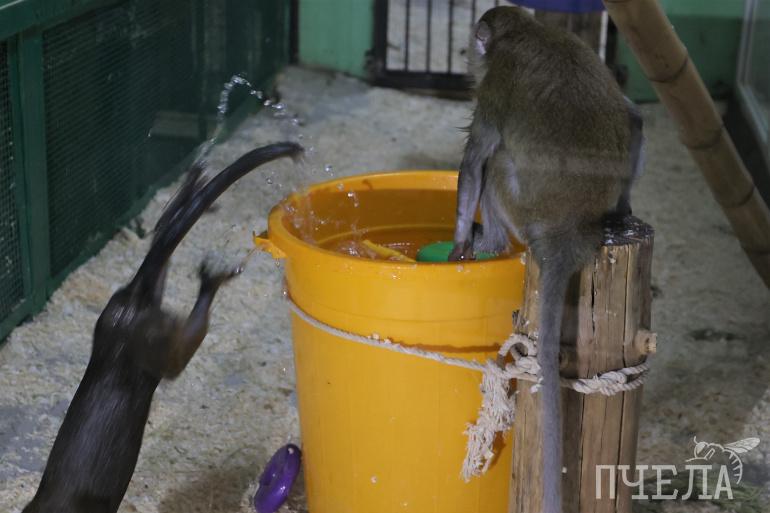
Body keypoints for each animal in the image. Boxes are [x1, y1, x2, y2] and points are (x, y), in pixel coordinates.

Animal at [23, 141, 303, 513]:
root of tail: (127, 309)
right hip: (146, 325)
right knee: (163, 246)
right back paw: (190, 188)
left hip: (155, 343)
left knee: (181, 344)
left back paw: (209, 272)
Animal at [449, 7, 643, 512]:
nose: (469, 55)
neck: (527, 32)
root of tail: (569, 233)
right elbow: (633, 115)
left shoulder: (495, 84)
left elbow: (474, 162)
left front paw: (456, 242)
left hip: (520, 207)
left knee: (496, 162)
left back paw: (490, 241)